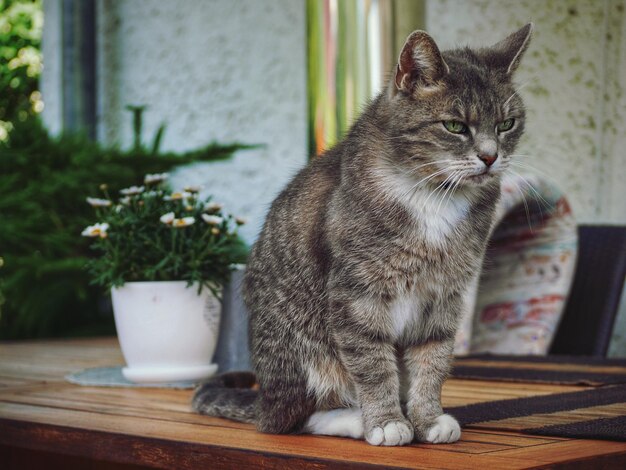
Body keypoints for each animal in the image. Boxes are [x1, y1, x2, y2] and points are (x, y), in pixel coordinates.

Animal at [191, 23, 532, 446]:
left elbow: (432, 360)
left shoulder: (443, 294)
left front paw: (427, 418)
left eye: (506, 124)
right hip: (304, 354)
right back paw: (355, 420)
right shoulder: (357, 296)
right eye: (455, 125)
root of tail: (264, 398)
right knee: (293, 419)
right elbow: (373, 365)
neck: (434, 196)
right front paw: (386, 421)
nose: (490, 157)